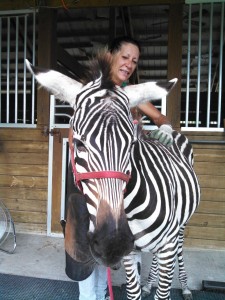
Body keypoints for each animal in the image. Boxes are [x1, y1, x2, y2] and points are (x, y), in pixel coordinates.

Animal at [26, 54, 200, 300]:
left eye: (131, 145)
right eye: (78, 143)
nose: (112, 243)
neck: (133, 210)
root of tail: (175, 134)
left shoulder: (166, 245)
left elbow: (164, 290)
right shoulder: (129, 253)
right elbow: (133, 292)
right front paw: (142, 287)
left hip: (181, 226)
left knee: (180, 250)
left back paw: (184, 287)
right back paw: (149, 283)